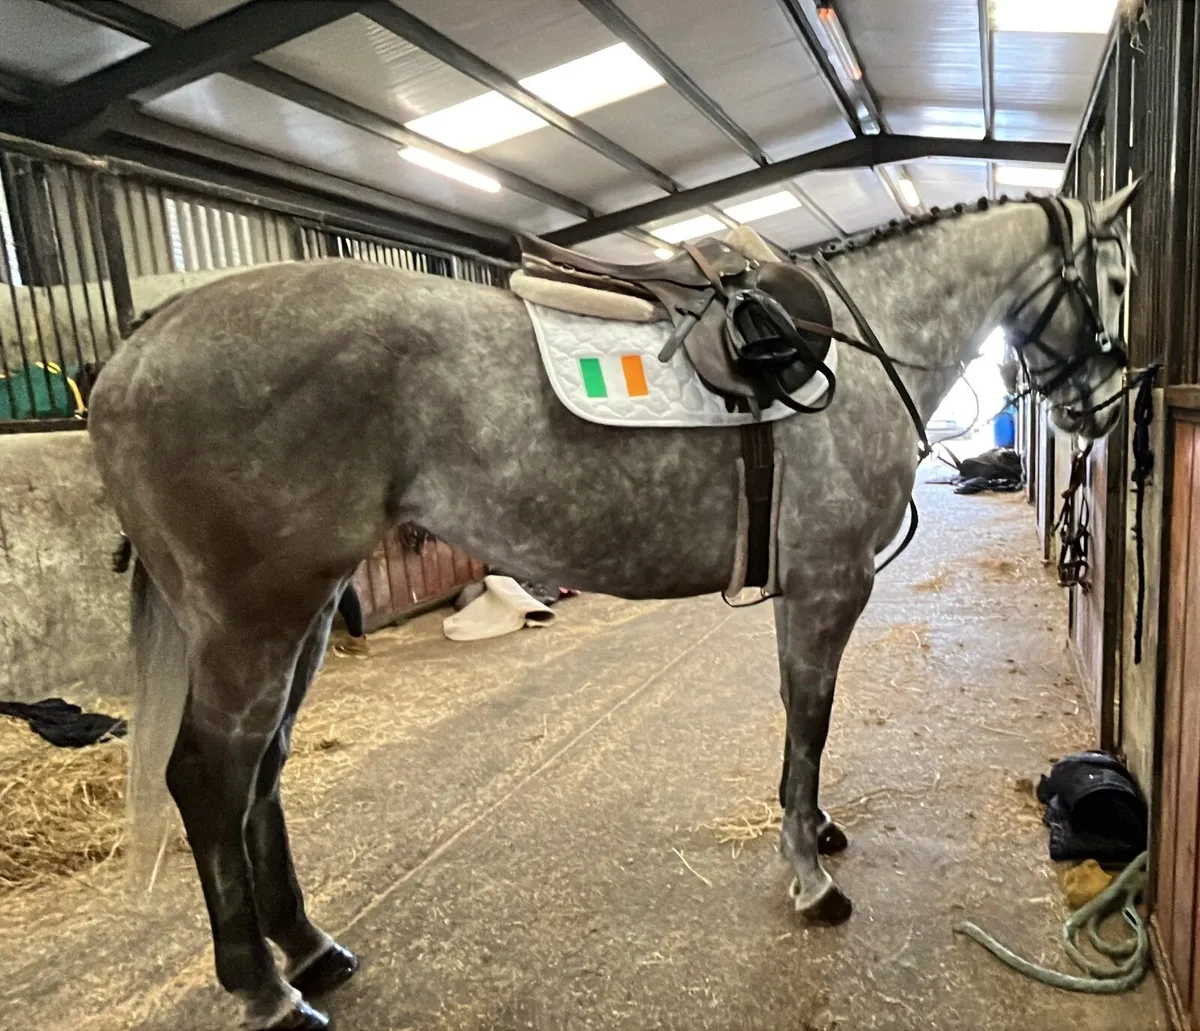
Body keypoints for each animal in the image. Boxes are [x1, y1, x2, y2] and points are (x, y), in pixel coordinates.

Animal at [86, 183, 1139, 1030]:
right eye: (1120, 278)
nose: (1107, 401)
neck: (860, 346)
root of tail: (137, 349)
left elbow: (802, 724)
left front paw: (816, 832)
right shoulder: (830, 584)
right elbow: (810, 721)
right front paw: (811, 874)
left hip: (298, 613)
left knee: (261, 774)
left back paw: (309, 950)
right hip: (254, 619)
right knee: (208, 779)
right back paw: (265, 989)